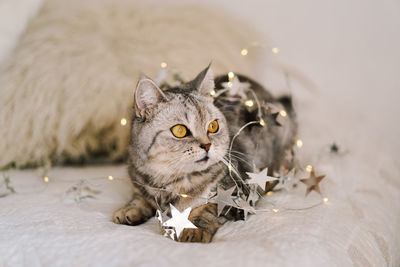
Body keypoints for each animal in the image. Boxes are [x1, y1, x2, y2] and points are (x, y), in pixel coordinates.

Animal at [112, 65, 296, 243]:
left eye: (213, 126)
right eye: (179, 131)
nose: (207, 145)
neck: (170, 182)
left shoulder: (238, 195)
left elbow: (206, 208)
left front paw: (193, 229)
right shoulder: (139, 181)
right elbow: (141, 197)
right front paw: (130, 208)